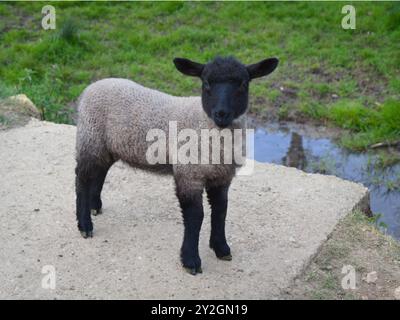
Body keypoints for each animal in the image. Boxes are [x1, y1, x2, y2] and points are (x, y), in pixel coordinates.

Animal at [76, 55, 278, 276]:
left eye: (243, 84)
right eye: (206, 83)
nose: (221, 113)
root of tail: (93, 85)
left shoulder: (221, 176)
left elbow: (221, 210)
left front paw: (221, 248)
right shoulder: (189, 174)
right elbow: (195, 215)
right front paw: (191, 260)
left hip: (107, 145)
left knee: (99, 172)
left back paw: (95, 206)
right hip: (90, 137)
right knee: (82, 179)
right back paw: (85, 224)